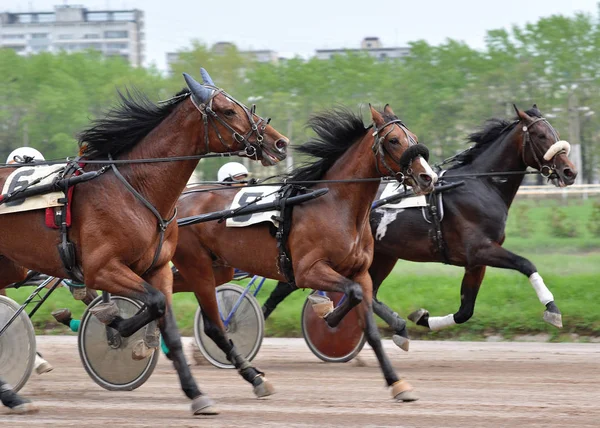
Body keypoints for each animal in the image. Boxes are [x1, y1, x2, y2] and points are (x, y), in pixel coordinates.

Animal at [0, 69, 288, 414]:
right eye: (229, 111)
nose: (280, 142)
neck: (135, 188)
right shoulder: (101, 268)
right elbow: (153, 303)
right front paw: (114, 323)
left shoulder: (159, 267)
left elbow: (168, 322)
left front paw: (196, 393)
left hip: (9, 265)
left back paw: (12, 396)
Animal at [171, 104, 438, 402]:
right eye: (393, 140)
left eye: (414, 137)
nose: (428, 177)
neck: (333, 204)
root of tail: (179, 201)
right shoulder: (307, 270)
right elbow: (351, 294)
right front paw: (327, 313)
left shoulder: (360, 272)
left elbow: (369, 324)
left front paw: (396, 382)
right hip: (198, 266)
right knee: (213, 324)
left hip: (215, 268)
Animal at [262, 105, 576, 350]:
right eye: (540, 135)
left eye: (554, 132)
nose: (569, 171)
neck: (479, 185)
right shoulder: (480, 249)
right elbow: (526, 263)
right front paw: (552, 309)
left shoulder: (475, 261)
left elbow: (465, 310)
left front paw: (423, 318)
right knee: (285, 287)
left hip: (383, 256)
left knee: (370, 293)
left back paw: (393, 326)